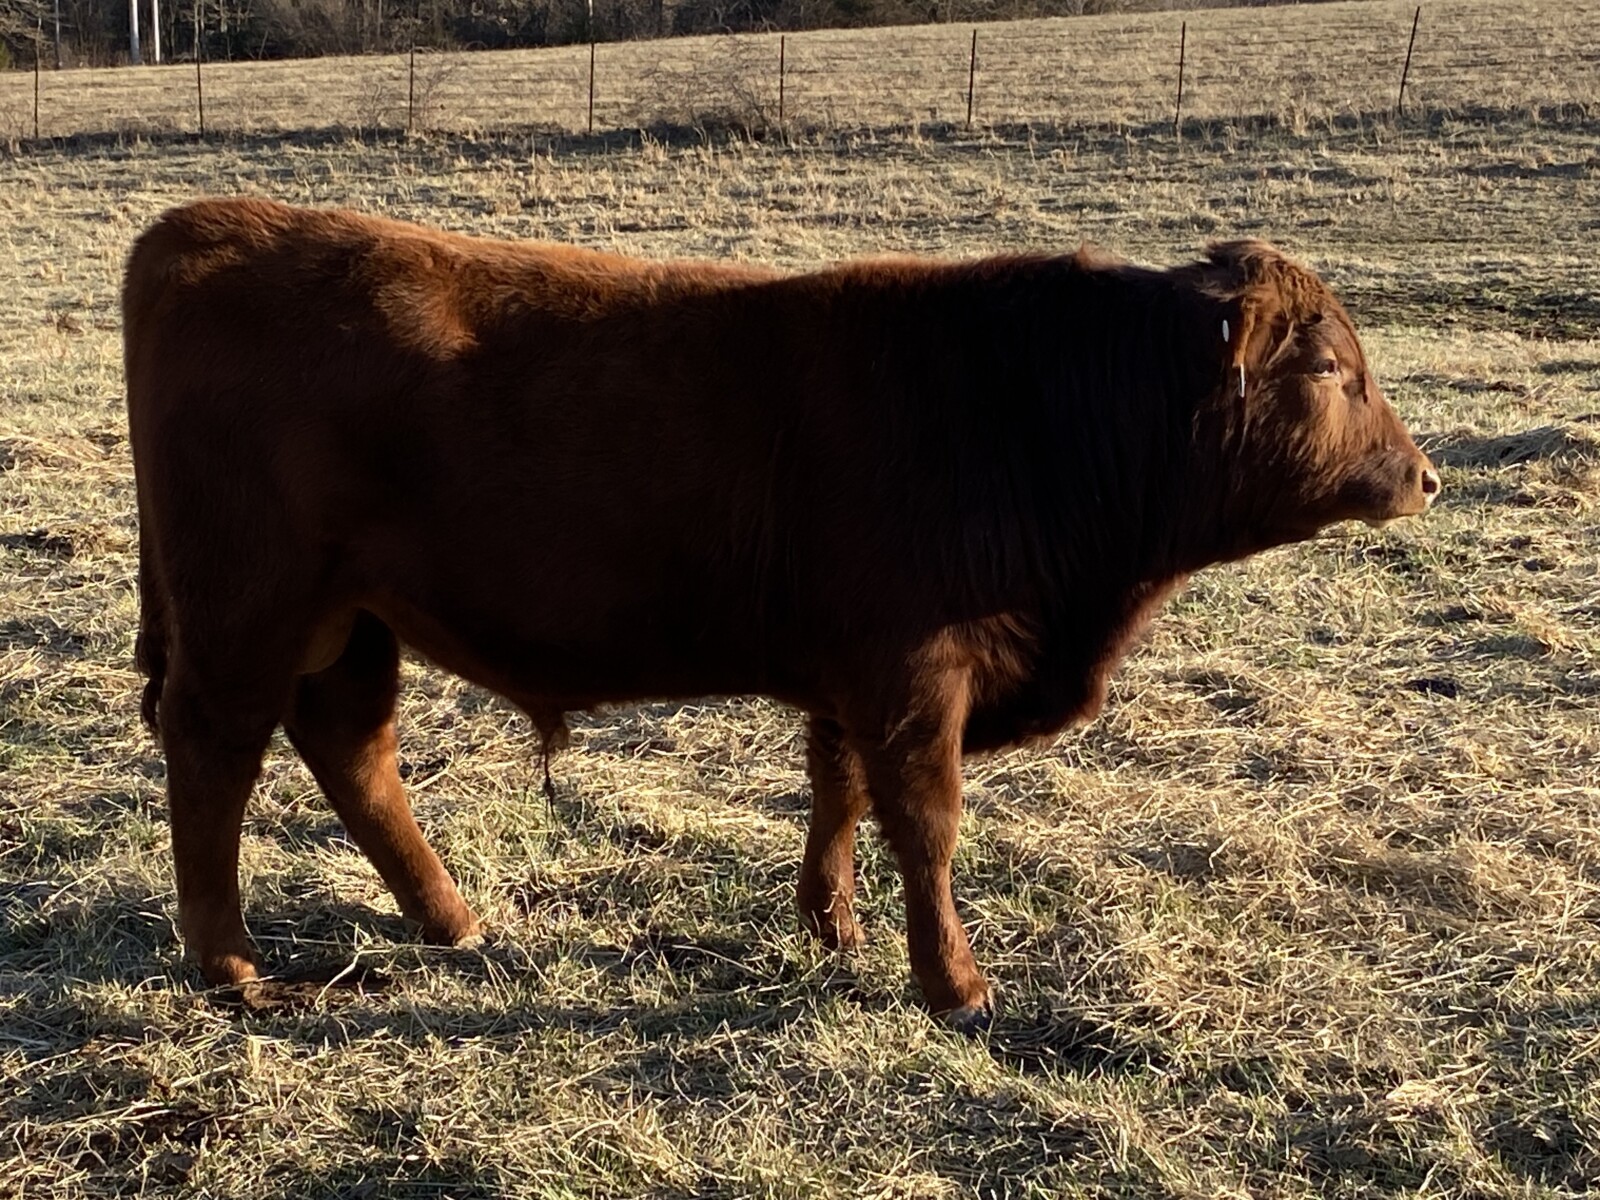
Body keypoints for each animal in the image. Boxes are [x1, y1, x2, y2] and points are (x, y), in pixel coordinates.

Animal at [124, 197, 1438, 1026]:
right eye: (1331, 368)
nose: (1424, 475)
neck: (1025, 406)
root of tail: (207, 226)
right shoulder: (914, 674)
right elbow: (925, 820)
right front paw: (954, 985)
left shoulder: (854, 676)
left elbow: (838, 790)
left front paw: (832, 928)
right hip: (248, 607)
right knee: (215, 749)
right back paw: (231, 962)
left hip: (350, 622)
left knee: (351, 747)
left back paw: (450, 921)